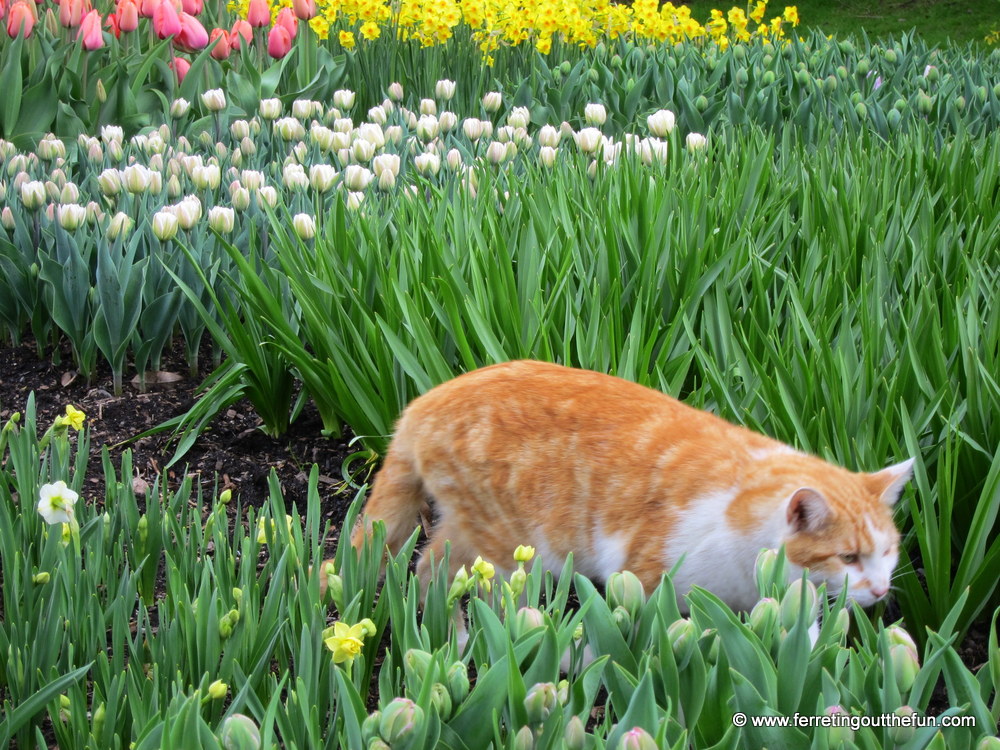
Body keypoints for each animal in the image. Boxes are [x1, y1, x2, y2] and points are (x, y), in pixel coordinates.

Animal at [334, 362, 908, 612]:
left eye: (888, 554)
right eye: (848, 558)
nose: (882, 591)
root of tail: (421, 402)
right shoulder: (643, 577)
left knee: (429, 571)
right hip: (505, 545)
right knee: (457, 583)